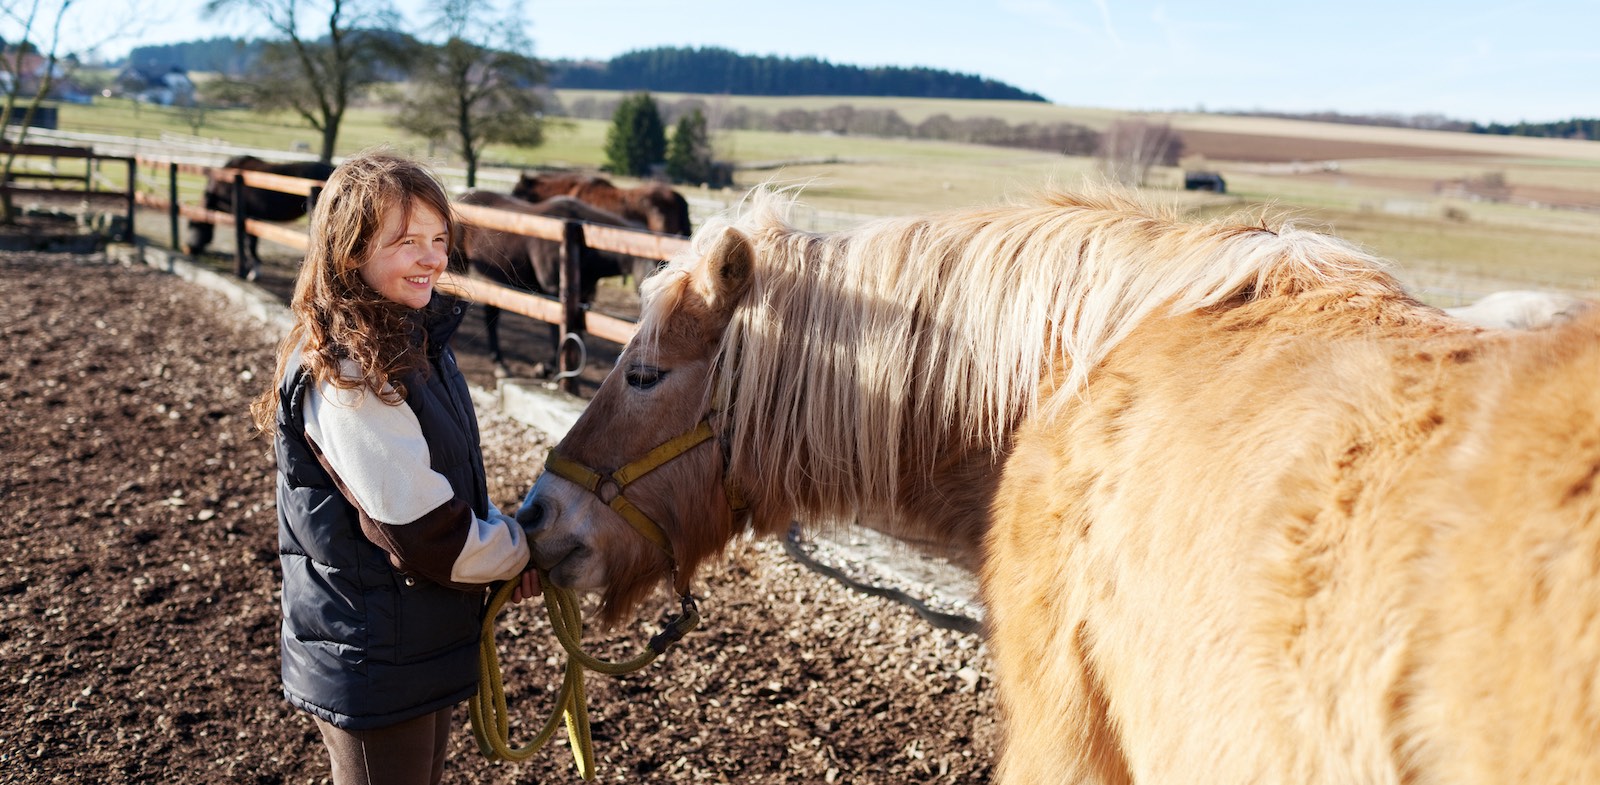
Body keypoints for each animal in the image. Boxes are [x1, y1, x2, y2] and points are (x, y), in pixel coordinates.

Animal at [184, 155, 335, 275]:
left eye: (195, 224)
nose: (189, 249)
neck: (226, 181)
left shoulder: (248, 215)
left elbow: (249, 242)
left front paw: (252, 270)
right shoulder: (249, 218)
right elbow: (248, 241)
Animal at [452, 189, 652, 377]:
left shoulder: (583, 298)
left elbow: (575, 335)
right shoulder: (555, 292)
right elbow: (558, 332)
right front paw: (550, 369)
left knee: (491, 315)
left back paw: (499, 363)